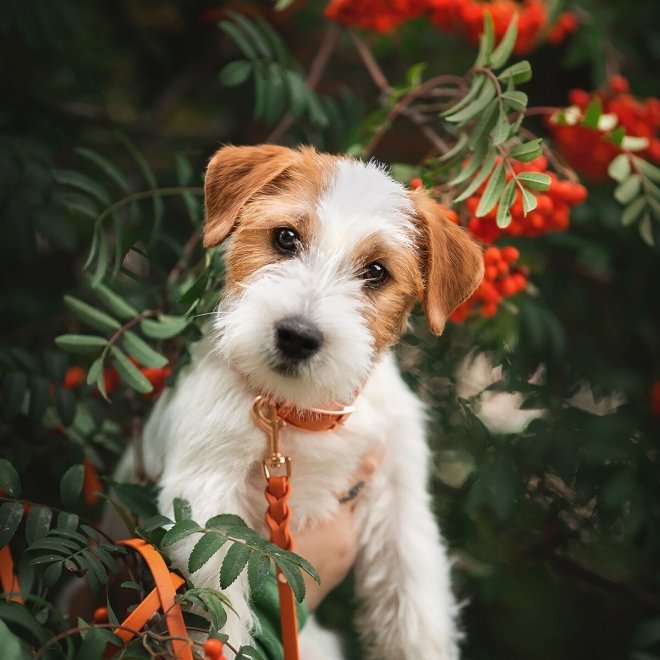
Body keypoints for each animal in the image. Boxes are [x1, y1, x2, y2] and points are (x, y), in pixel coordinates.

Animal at [116, 146, 482, 660]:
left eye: (376, 271)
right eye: (286, 238)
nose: (297, 336)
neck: (299, 411)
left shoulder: (400, 502)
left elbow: (414, 604)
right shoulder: (206, 506)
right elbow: (226, 608)